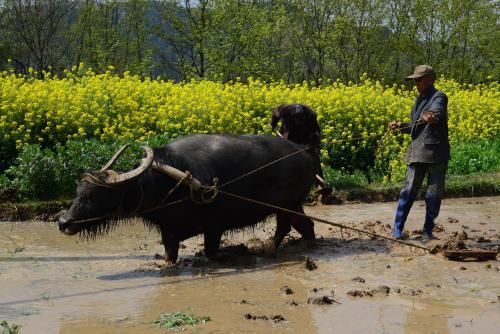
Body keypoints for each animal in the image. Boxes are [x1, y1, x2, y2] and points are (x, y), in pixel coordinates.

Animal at [58, 134, 316, 264]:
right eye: (78, 191)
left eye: (96, 194)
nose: (63, 222)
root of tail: (306, 153)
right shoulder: (168, 232)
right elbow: (170, 256)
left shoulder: (214, 228)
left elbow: (210, 252)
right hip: (295, 205)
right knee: (306, 225)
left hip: (286, 205)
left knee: (284, 227)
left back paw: (269, 252)